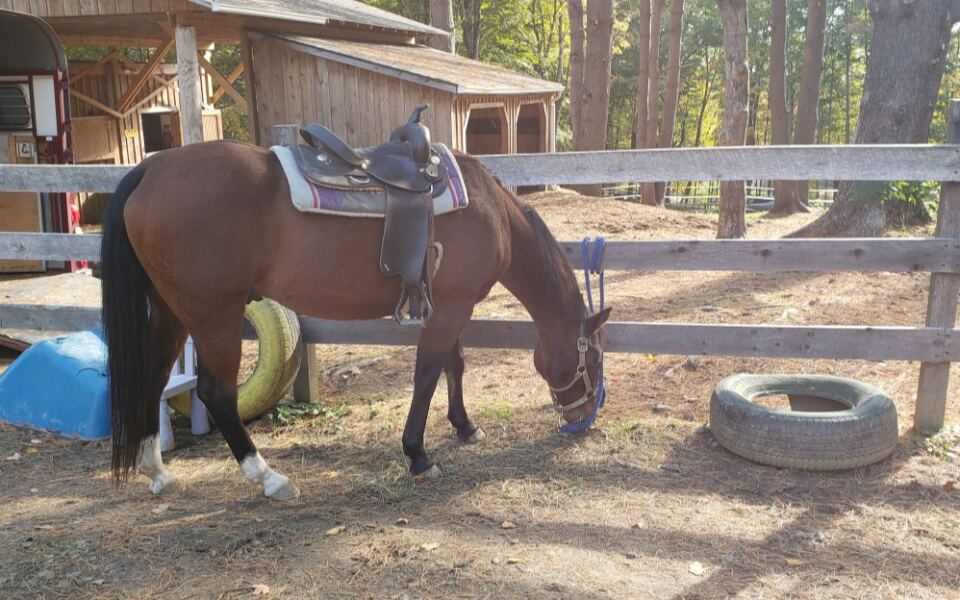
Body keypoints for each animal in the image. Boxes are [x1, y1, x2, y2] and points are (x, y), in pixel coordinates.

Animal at [101, 139, 611, 501]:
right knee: (216, 393)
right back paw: (268, 478)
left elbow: (454, 365)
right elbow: (428, 373)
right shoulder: (452, 308)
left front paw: (464, 427)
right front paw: (418, 454)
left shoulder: (451, 305)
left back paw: (156, 470)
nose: (580, 417)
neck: (492, 209)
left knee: (154, 374)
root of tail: (150, 169)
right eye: (595, 358)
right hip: (214, 313)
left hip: (173, 310)